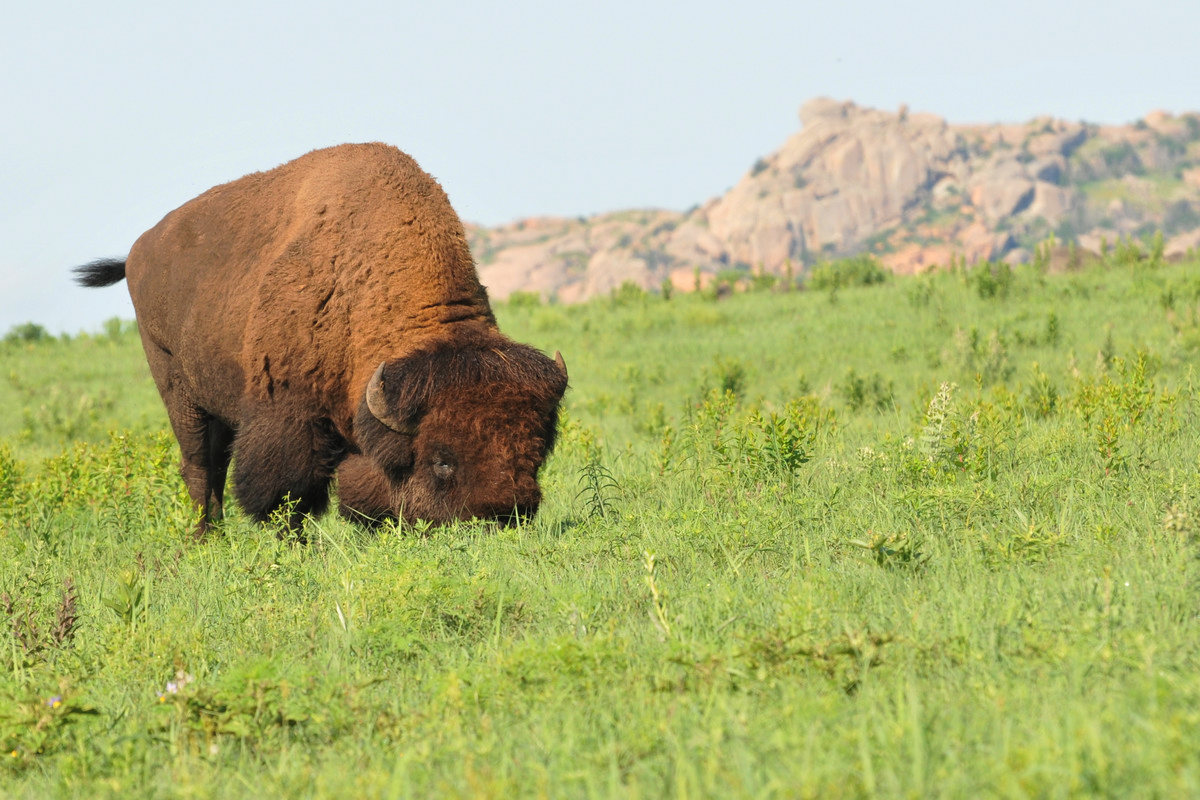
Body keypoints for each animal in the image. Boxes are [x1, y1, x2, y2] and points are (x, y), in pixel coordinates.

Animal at [75, 143, 567, 537]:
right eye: (441, 461)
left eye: (534, 453)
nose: (503, 516)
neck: (359, 278)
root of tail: (138, 251)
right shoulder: (288, 415)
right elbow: (286, 494)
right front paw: (294, 546)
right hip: (179, 392)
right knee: (199, 466)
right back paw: (203, 540)